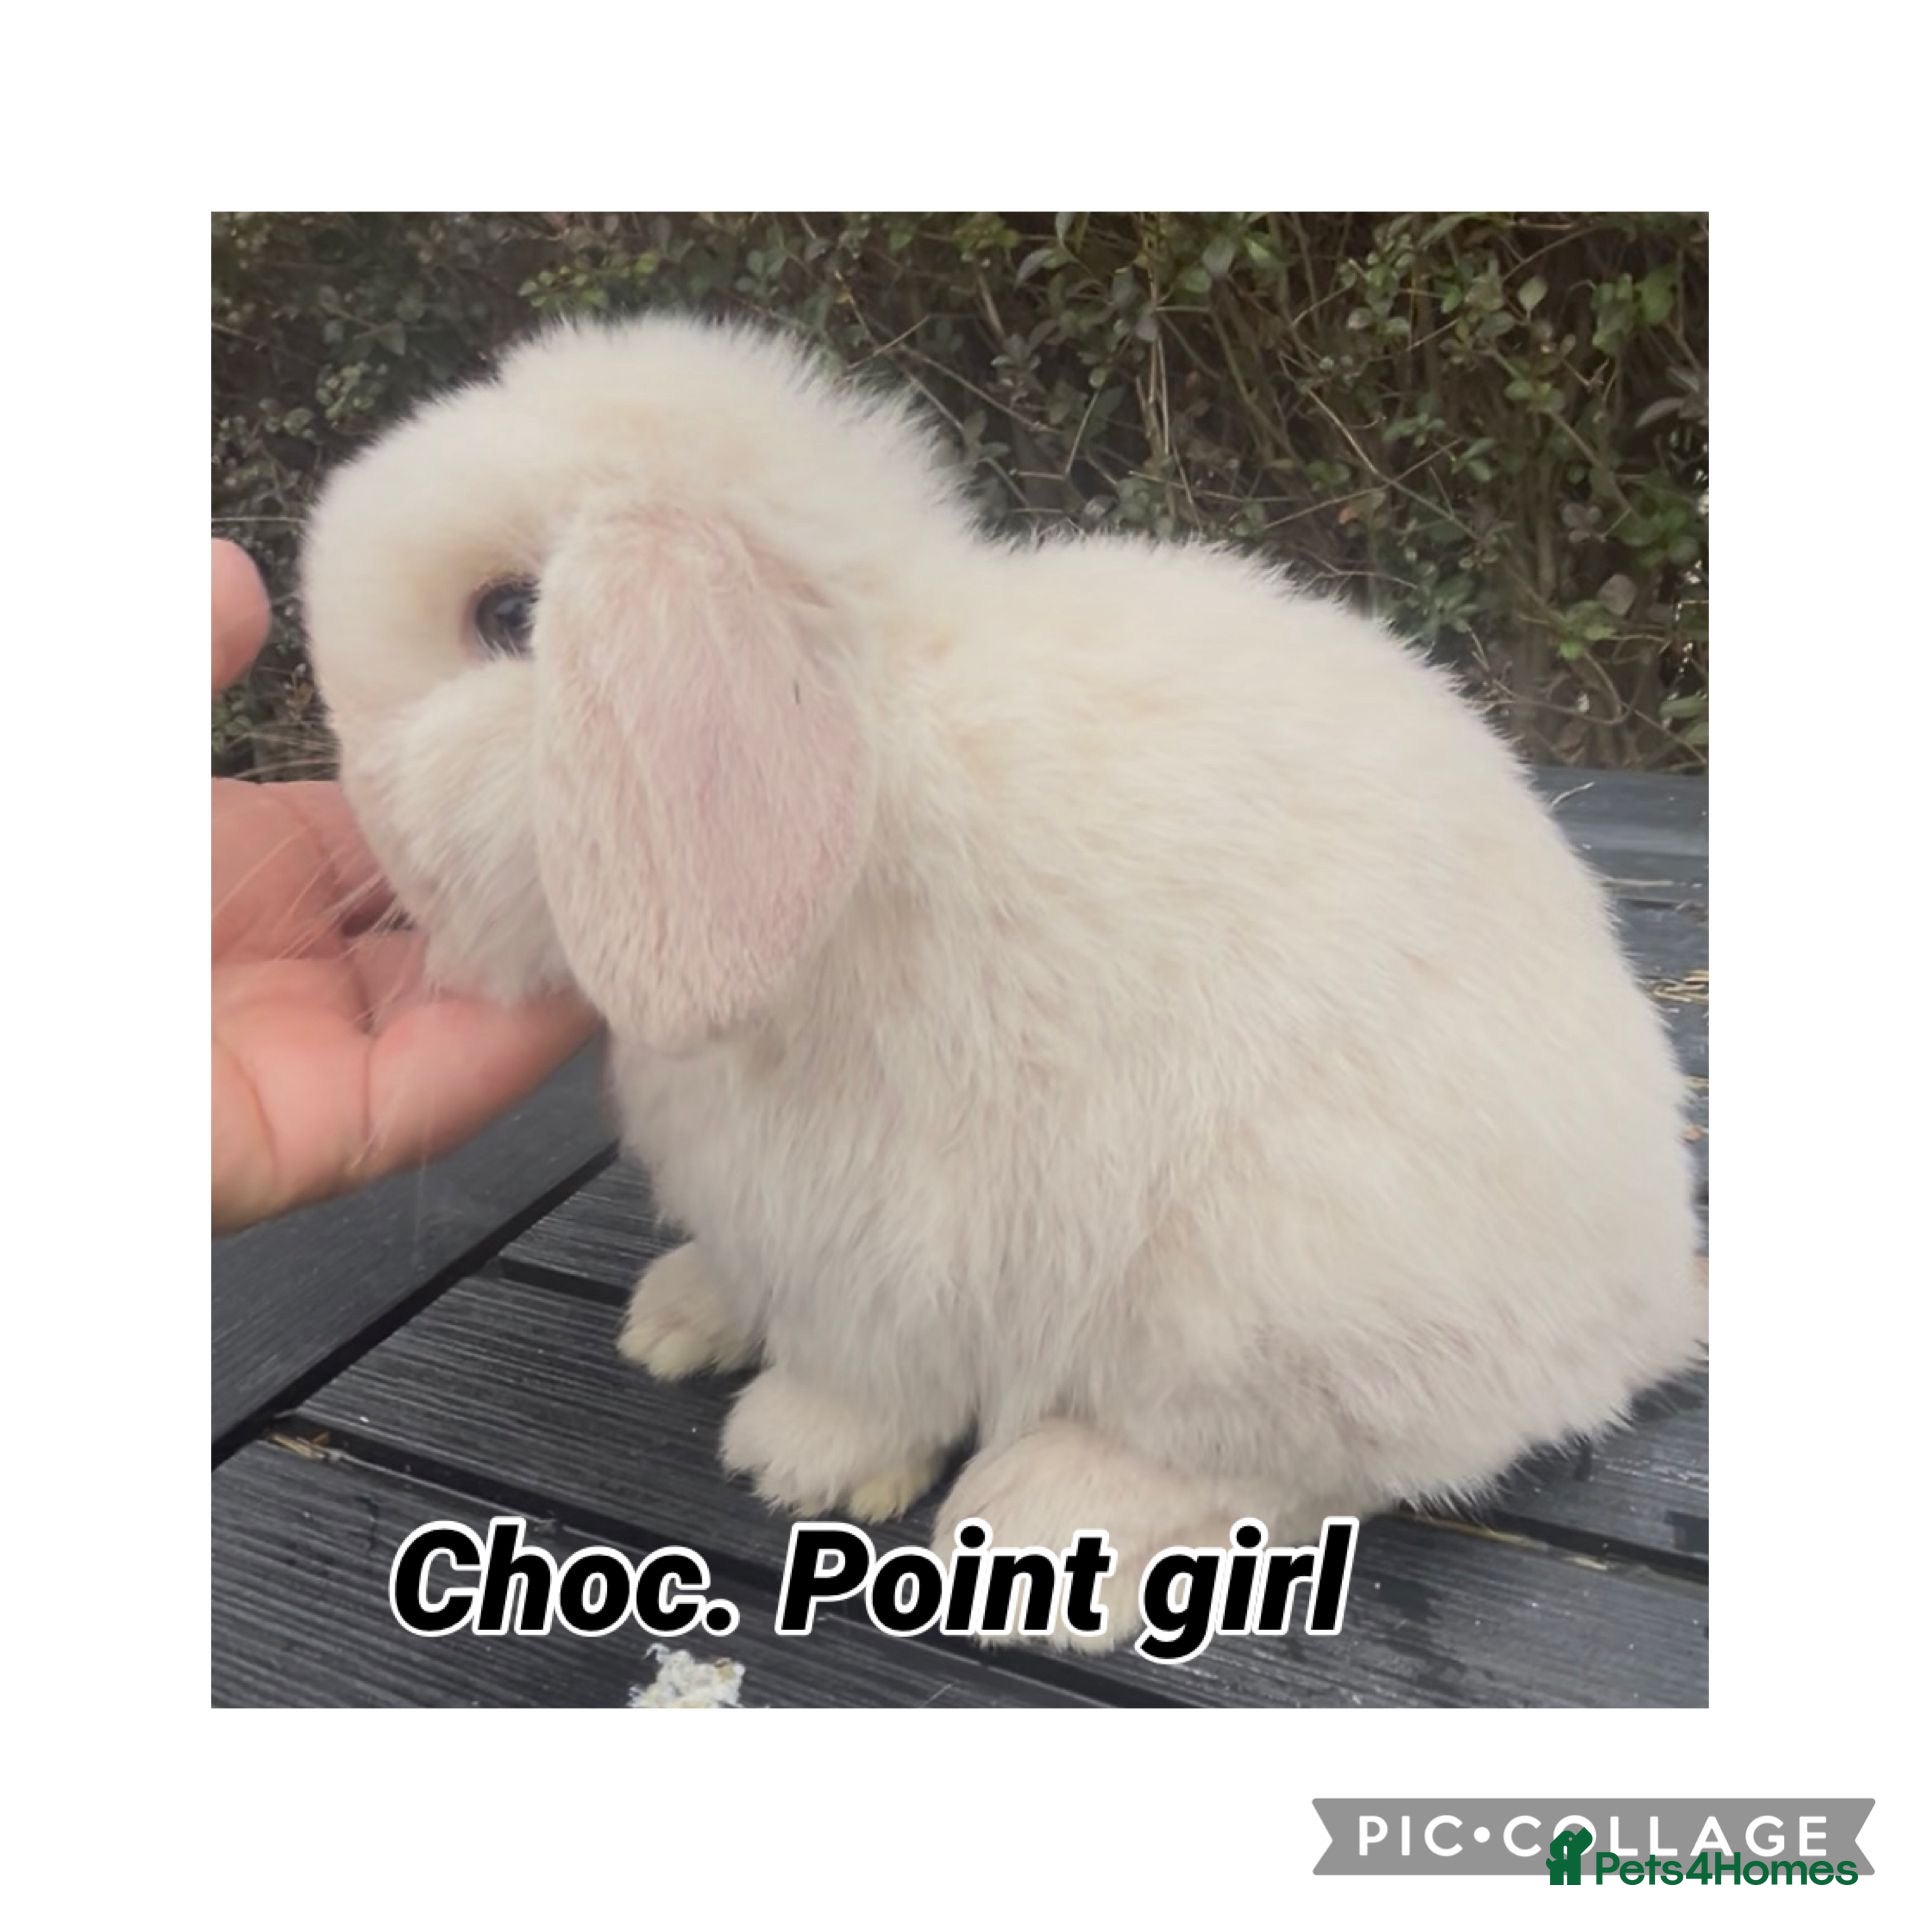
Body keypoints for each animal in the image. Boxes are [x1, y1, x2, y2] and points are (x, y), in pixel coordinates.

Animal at [302, 315, 1704, 1652]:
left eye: (508, 619)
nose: (362, 816)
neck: (868, 760)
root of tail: (1644, 1298)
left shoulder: (886, 1227)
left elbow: (866, 1372)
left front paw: (796, 1456)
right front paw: (686, 1317)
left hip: (1268, 1289)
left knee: (1311, 1472)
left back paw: (1055, 1514)